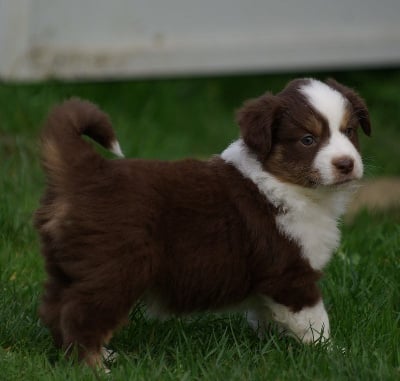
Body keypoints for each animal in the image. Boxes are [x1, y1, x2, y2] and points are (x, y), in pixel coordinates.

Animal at [35, 77, 372, 366]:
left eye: (349, 130)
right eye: (307, 139)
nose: (346, 164)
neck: (285, 182)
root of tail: (89, 172)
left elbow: (266, 314)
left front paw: (272, 346)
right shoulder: (290, 273)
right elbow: (314, 320)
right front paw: (333, 353)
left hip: (69, 267)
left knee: (56, 308)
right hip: (116, 269)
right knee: (81, 315)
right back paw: (94, 366)